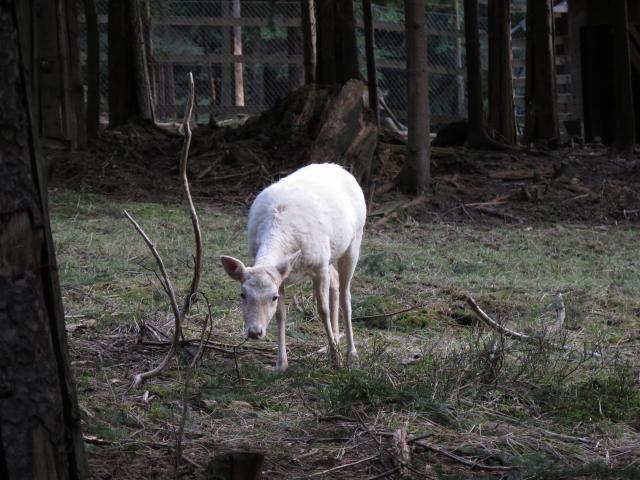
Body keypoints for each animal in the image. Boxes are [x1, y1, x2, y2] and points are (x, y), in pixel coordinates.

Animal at [222, 163, 368, 370]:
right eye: (242, 294)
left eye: (273, 297)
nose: (254, 332)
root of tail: (340, 167)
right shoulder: (282, 273)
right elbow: (281, 314)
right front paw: (280, 365)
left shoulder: (319, 265)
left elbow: (322, 310)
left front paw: (336, 361)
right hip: (330, 253)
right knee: (335, 282)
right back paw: (336, 343)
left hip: (355, 238)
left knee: (345, 294)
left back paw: (351, 354)